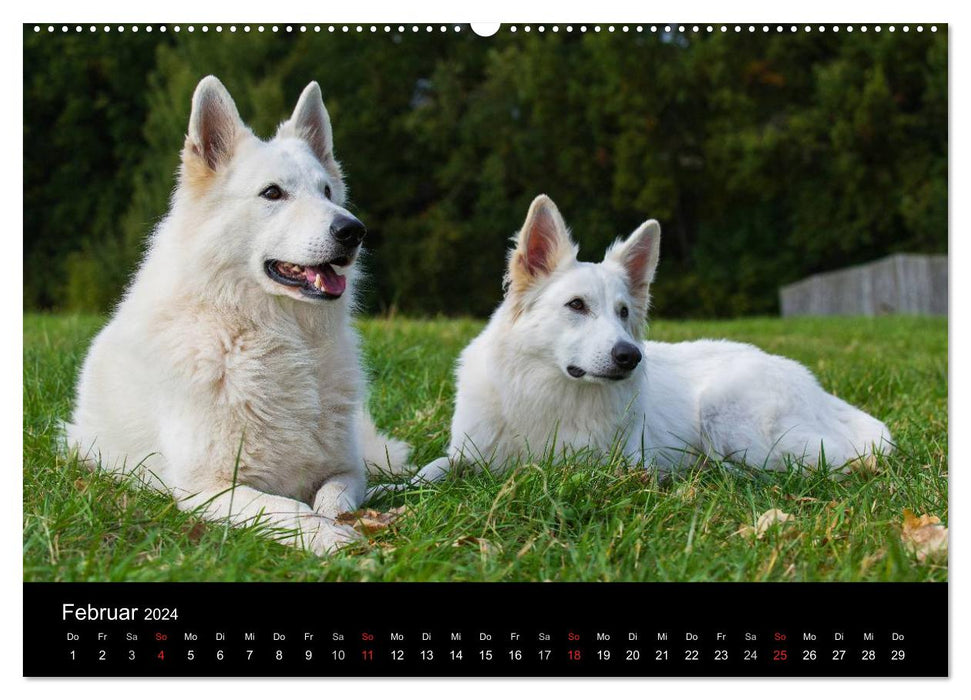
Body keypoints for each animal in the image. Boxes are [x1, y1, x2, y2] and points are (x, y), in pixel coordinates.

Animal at [392, 194, 892, 490]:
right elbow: (428, 473)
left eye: (624, 313)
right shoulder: (465, 454)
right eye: (576, 305)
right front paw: (390, 491)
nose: (629, 357)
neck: (547, 391)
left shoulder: (603, 466)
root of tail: (819, 390)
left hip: (730, 418)